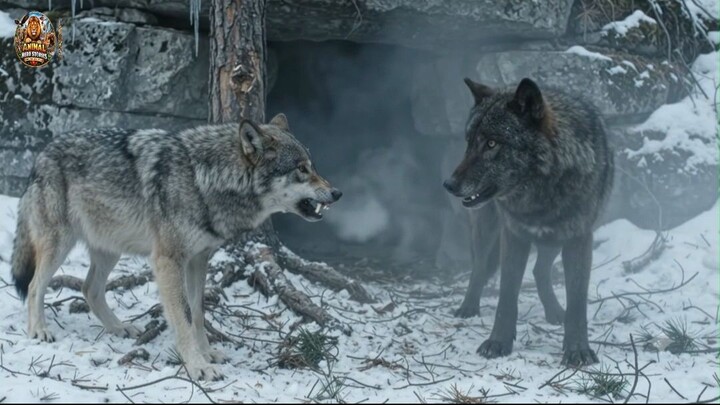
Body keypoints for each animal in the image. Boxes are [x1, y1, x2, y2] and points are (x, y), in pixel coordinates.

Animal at [11, 113, 342, 380]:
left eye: (312, 166)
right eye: (301, 169)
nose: (337, 193)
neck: (205, 179)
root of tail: (41, 153)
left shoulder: (198, 259)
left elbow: (197, 312)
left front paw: (206, 354)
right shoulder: (169, 260)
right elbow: (182, 315)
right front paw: (198, 367)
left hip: (110, 250)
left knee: (89, 289)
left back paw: (120, 329)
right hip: (60, 244)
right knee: (35, 286)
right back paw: (39, 330)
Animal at [444, 78, 614, 366]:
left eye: (491, 143)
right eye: (469, 142)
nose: (449, 185)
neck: (540, 194)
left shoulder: (579, 239)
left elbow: (577, 300)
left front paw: (577, 349)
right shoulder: (514, 236)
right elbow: (506, 295)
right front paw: (498, 342)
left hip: (553, 241)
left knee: (539, 271)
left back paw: (555, 312)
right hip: (488, 232)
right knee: (479, 268)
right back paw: (468, 307)